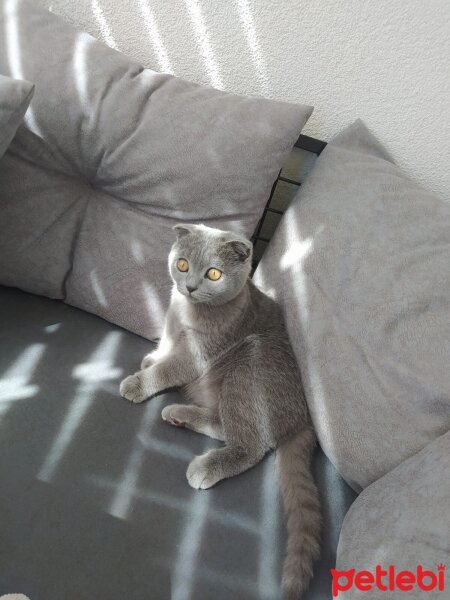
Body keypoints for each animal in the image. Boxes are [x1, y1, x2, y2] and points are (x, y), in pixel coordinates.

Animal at [121, 223, 322, 596]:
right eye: (183, 264)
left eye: (213, 273)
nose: (189, 286)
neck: (185, 312)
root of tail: (306, 421)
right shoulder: (171, 327)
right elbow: (165, 348)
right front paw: (151, 359)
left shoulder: (197, 355)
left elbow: (169, 369)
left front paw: (138, 383)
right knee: (226, 425)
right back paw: (179, 416)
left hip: (248, 362)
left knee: (252, 444)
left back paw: (204, 466)